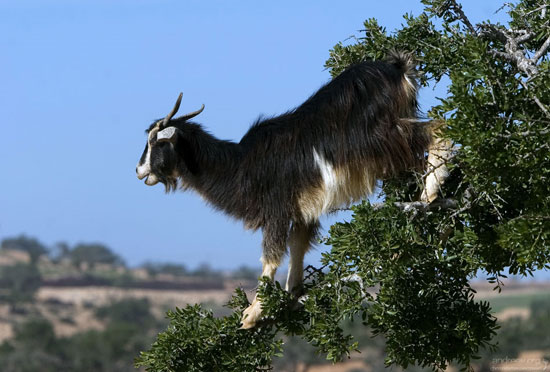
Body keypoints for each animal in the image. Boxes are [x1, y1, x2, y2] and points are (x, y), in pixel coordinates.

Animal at [137, 51, 448, 328]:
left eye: (158, 142)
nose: (140, 171)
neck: (241, 165)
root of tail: (398, 69)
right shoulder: (302, 211)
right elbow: (298, 244)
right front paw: (292, 293)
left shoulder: (276, 208)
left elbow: (271, 255)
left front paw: (253, 313)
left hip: (381, 137)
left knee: (437, 128)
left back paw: (429, 195)